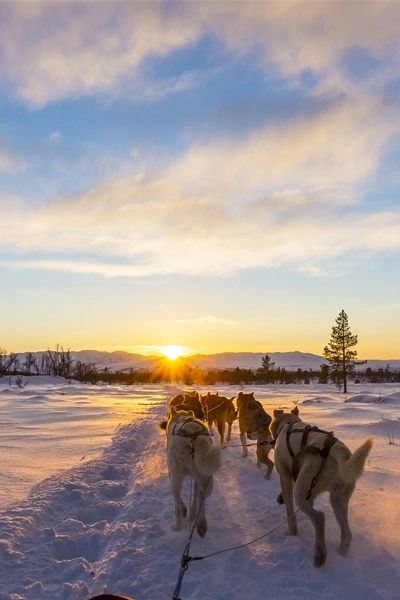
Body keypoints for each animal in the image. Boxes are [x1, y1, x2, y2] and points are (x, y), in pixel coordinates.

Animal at [162, 406, 222, 536]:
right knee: (201, 496)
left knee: (177, 507)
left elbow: (180, 502)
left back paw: (178, 527)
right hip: (206, 477)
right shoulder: (196, 479)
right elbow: (195, 496)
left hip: (176, 478)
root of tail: (194, 437)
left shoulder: (171, 473)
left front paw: (185, 509)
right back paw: (200, 523)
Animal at [270, 408, 374, 568]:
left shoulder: (285, 475)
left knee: (319, 517)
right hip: (338, 499)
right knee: (346, 533)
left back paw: (320, 554)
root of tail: (337, 450)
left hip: (302, 493)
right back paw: (341, 555)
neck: (288, 424)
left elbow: (290, 513)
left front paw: (292, 534)